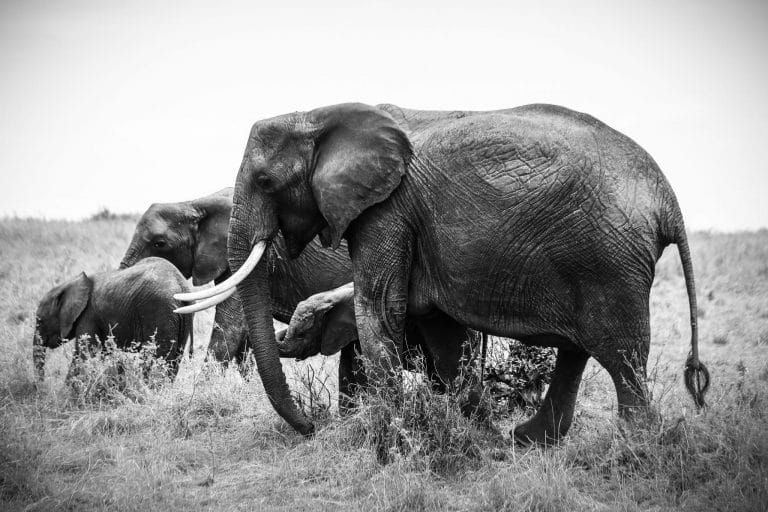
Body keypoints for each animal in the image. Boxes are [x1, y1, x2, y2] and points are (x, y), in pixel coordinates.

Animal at [33, 257, 194, 380]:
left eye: (40, 320)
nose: (42, 386)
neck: (69, 285)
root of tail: (180, 286)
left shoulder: (88, 316)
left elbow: (84, 355)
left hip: (159, 310)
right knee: (173, 360)